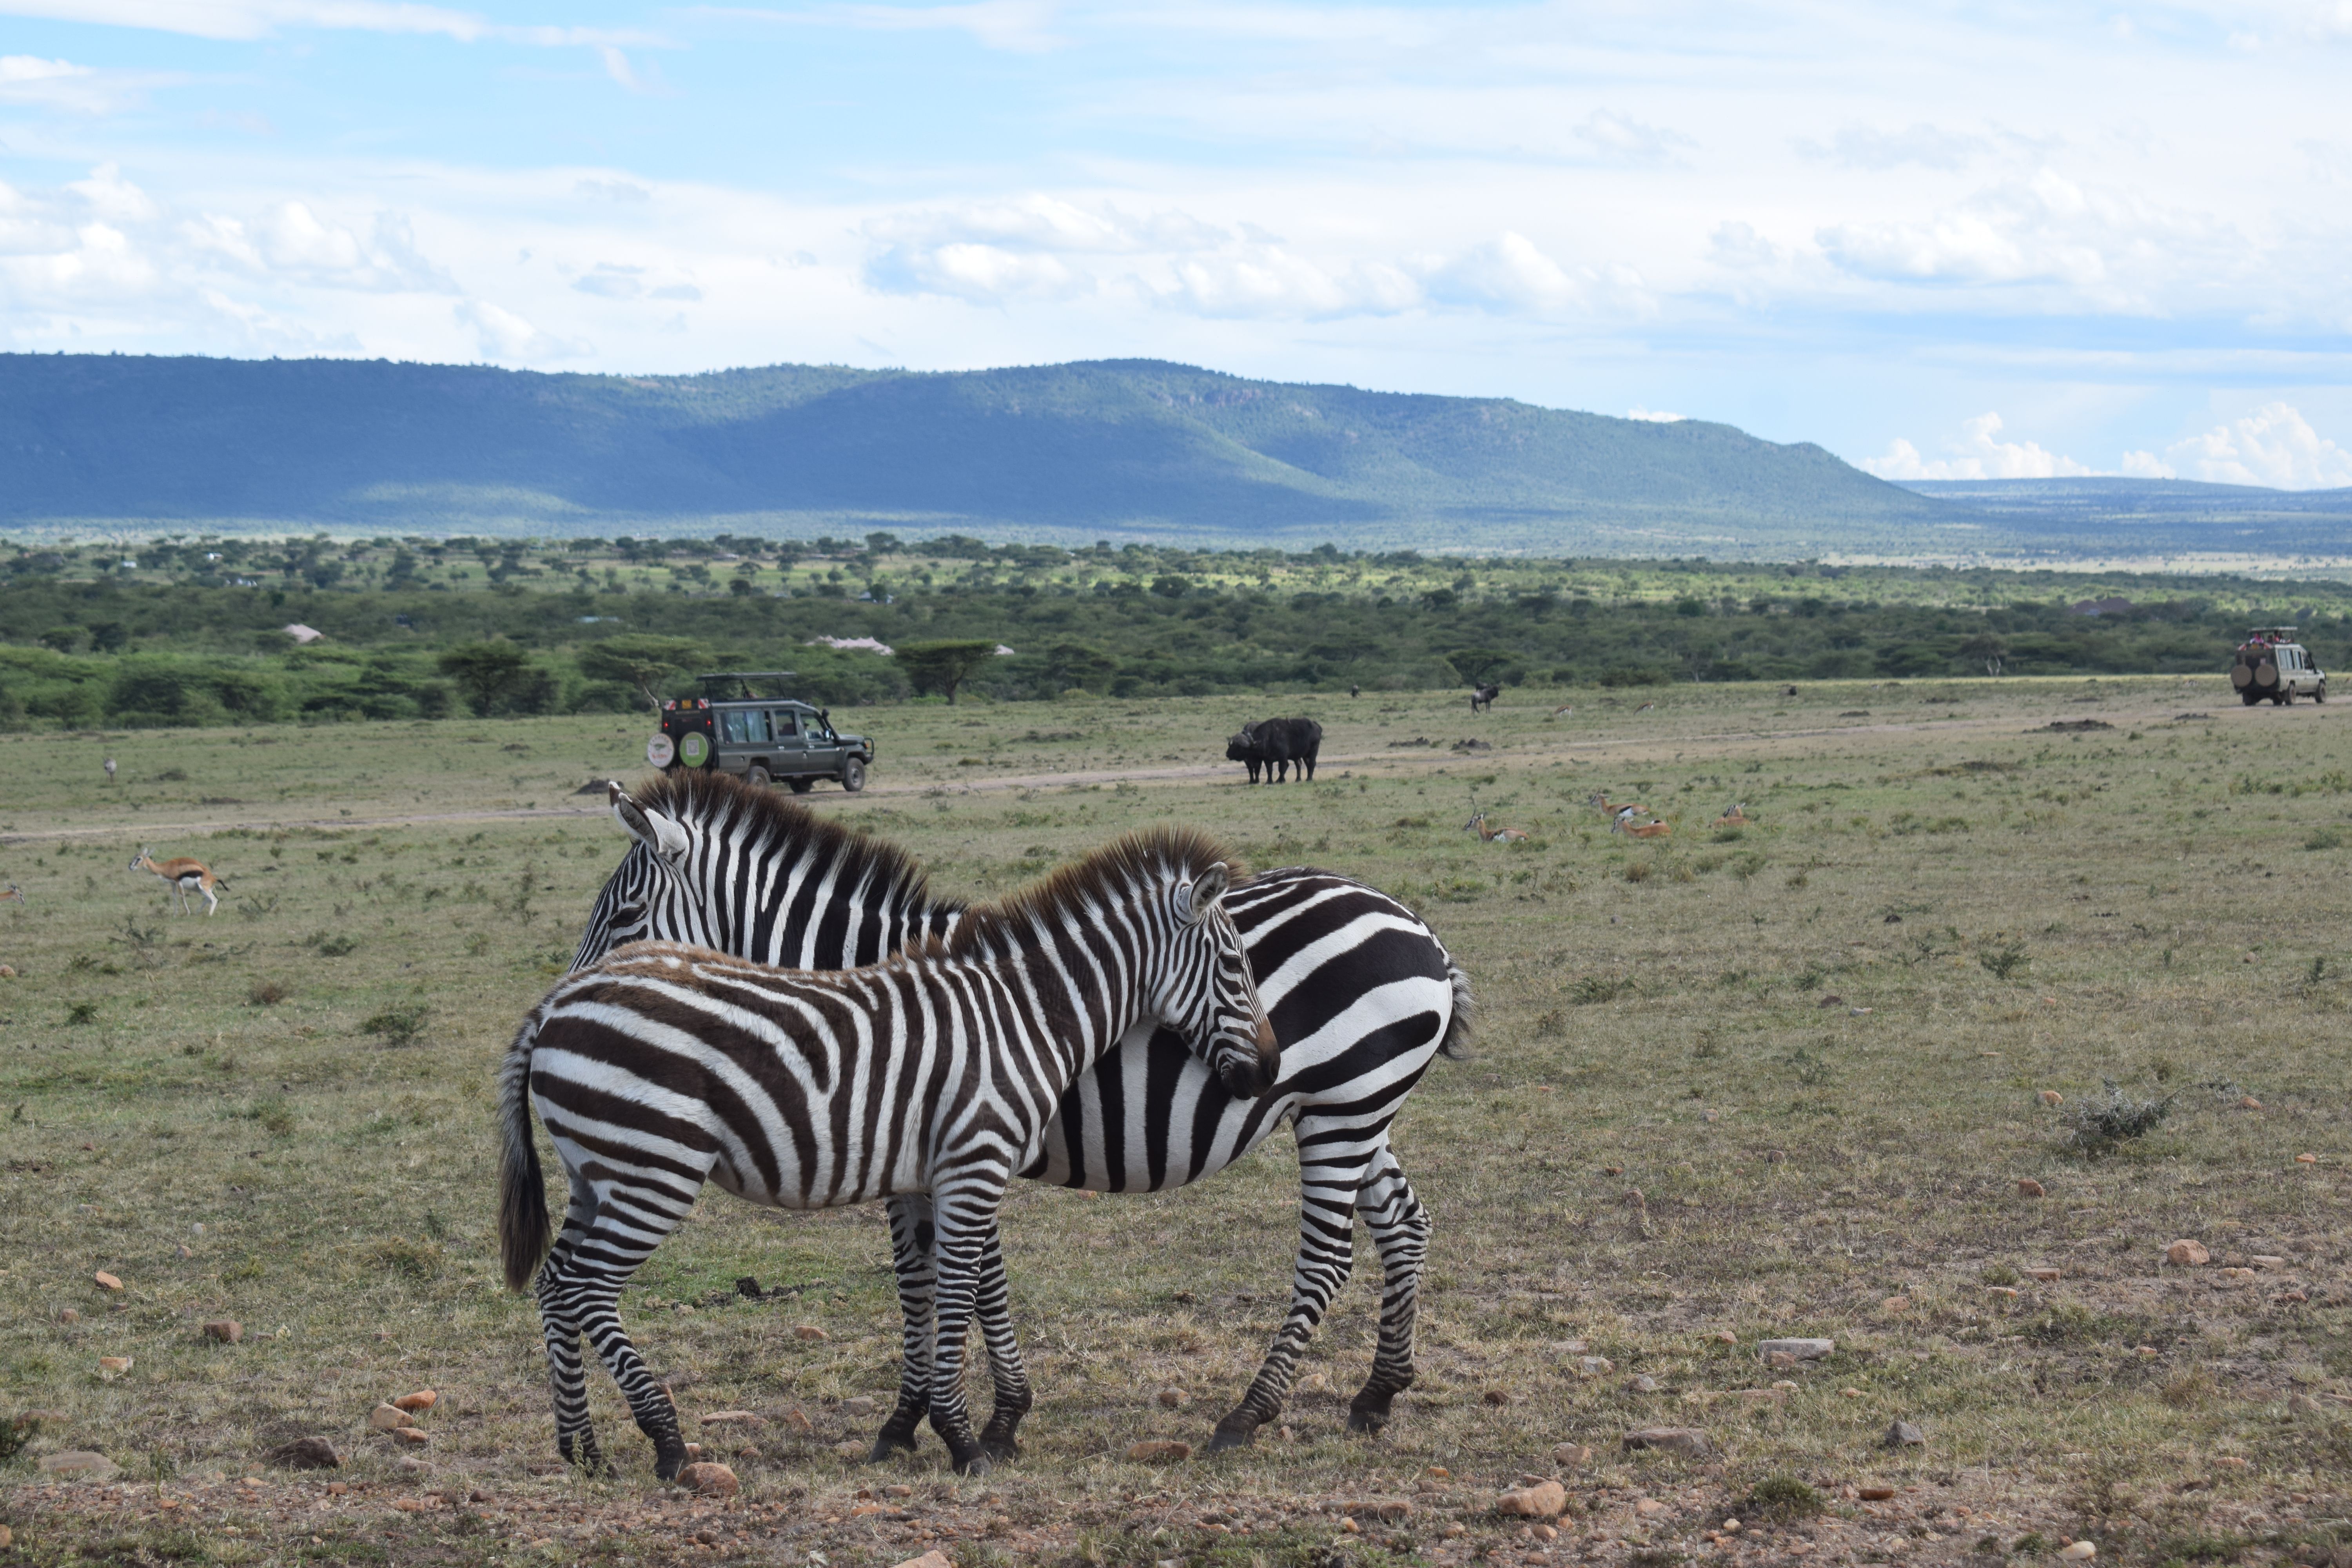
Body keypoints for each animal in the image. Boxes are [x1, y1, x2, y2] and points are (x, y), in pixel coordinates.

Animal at [501, 827, 1274, 1479]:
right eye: (1235, 965)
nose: (1267, 1071)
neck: (1022, 1012)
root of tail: (556, 1004)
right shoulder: (973, 1163)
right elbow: (959, 1289)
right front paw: (964, 1440)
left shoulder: (935, 1174)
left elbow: (942, 1288)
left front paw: (934, 1425)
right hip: (649, 1171)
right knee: (584, 1286)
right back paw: (663, 1440)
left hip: (598, 1172)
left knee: (556, 1282)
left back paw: (582, 1450)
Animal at [576, 771, 1471, 1457]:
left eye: (621, 917)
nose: (580, 1008)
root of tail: (1415, 924)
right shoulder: (924, 1156)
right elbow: (924, 1281)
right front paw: (911, 1421)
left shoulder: (958, 1140)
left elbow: (971, 1281)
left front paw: (991, 1421)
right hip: (1355, 1110)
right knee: (1406, 1225)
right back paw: (1377, 1394)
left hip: (1343, 1108)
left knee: (1327, 1257)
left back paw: (1248, 1413)